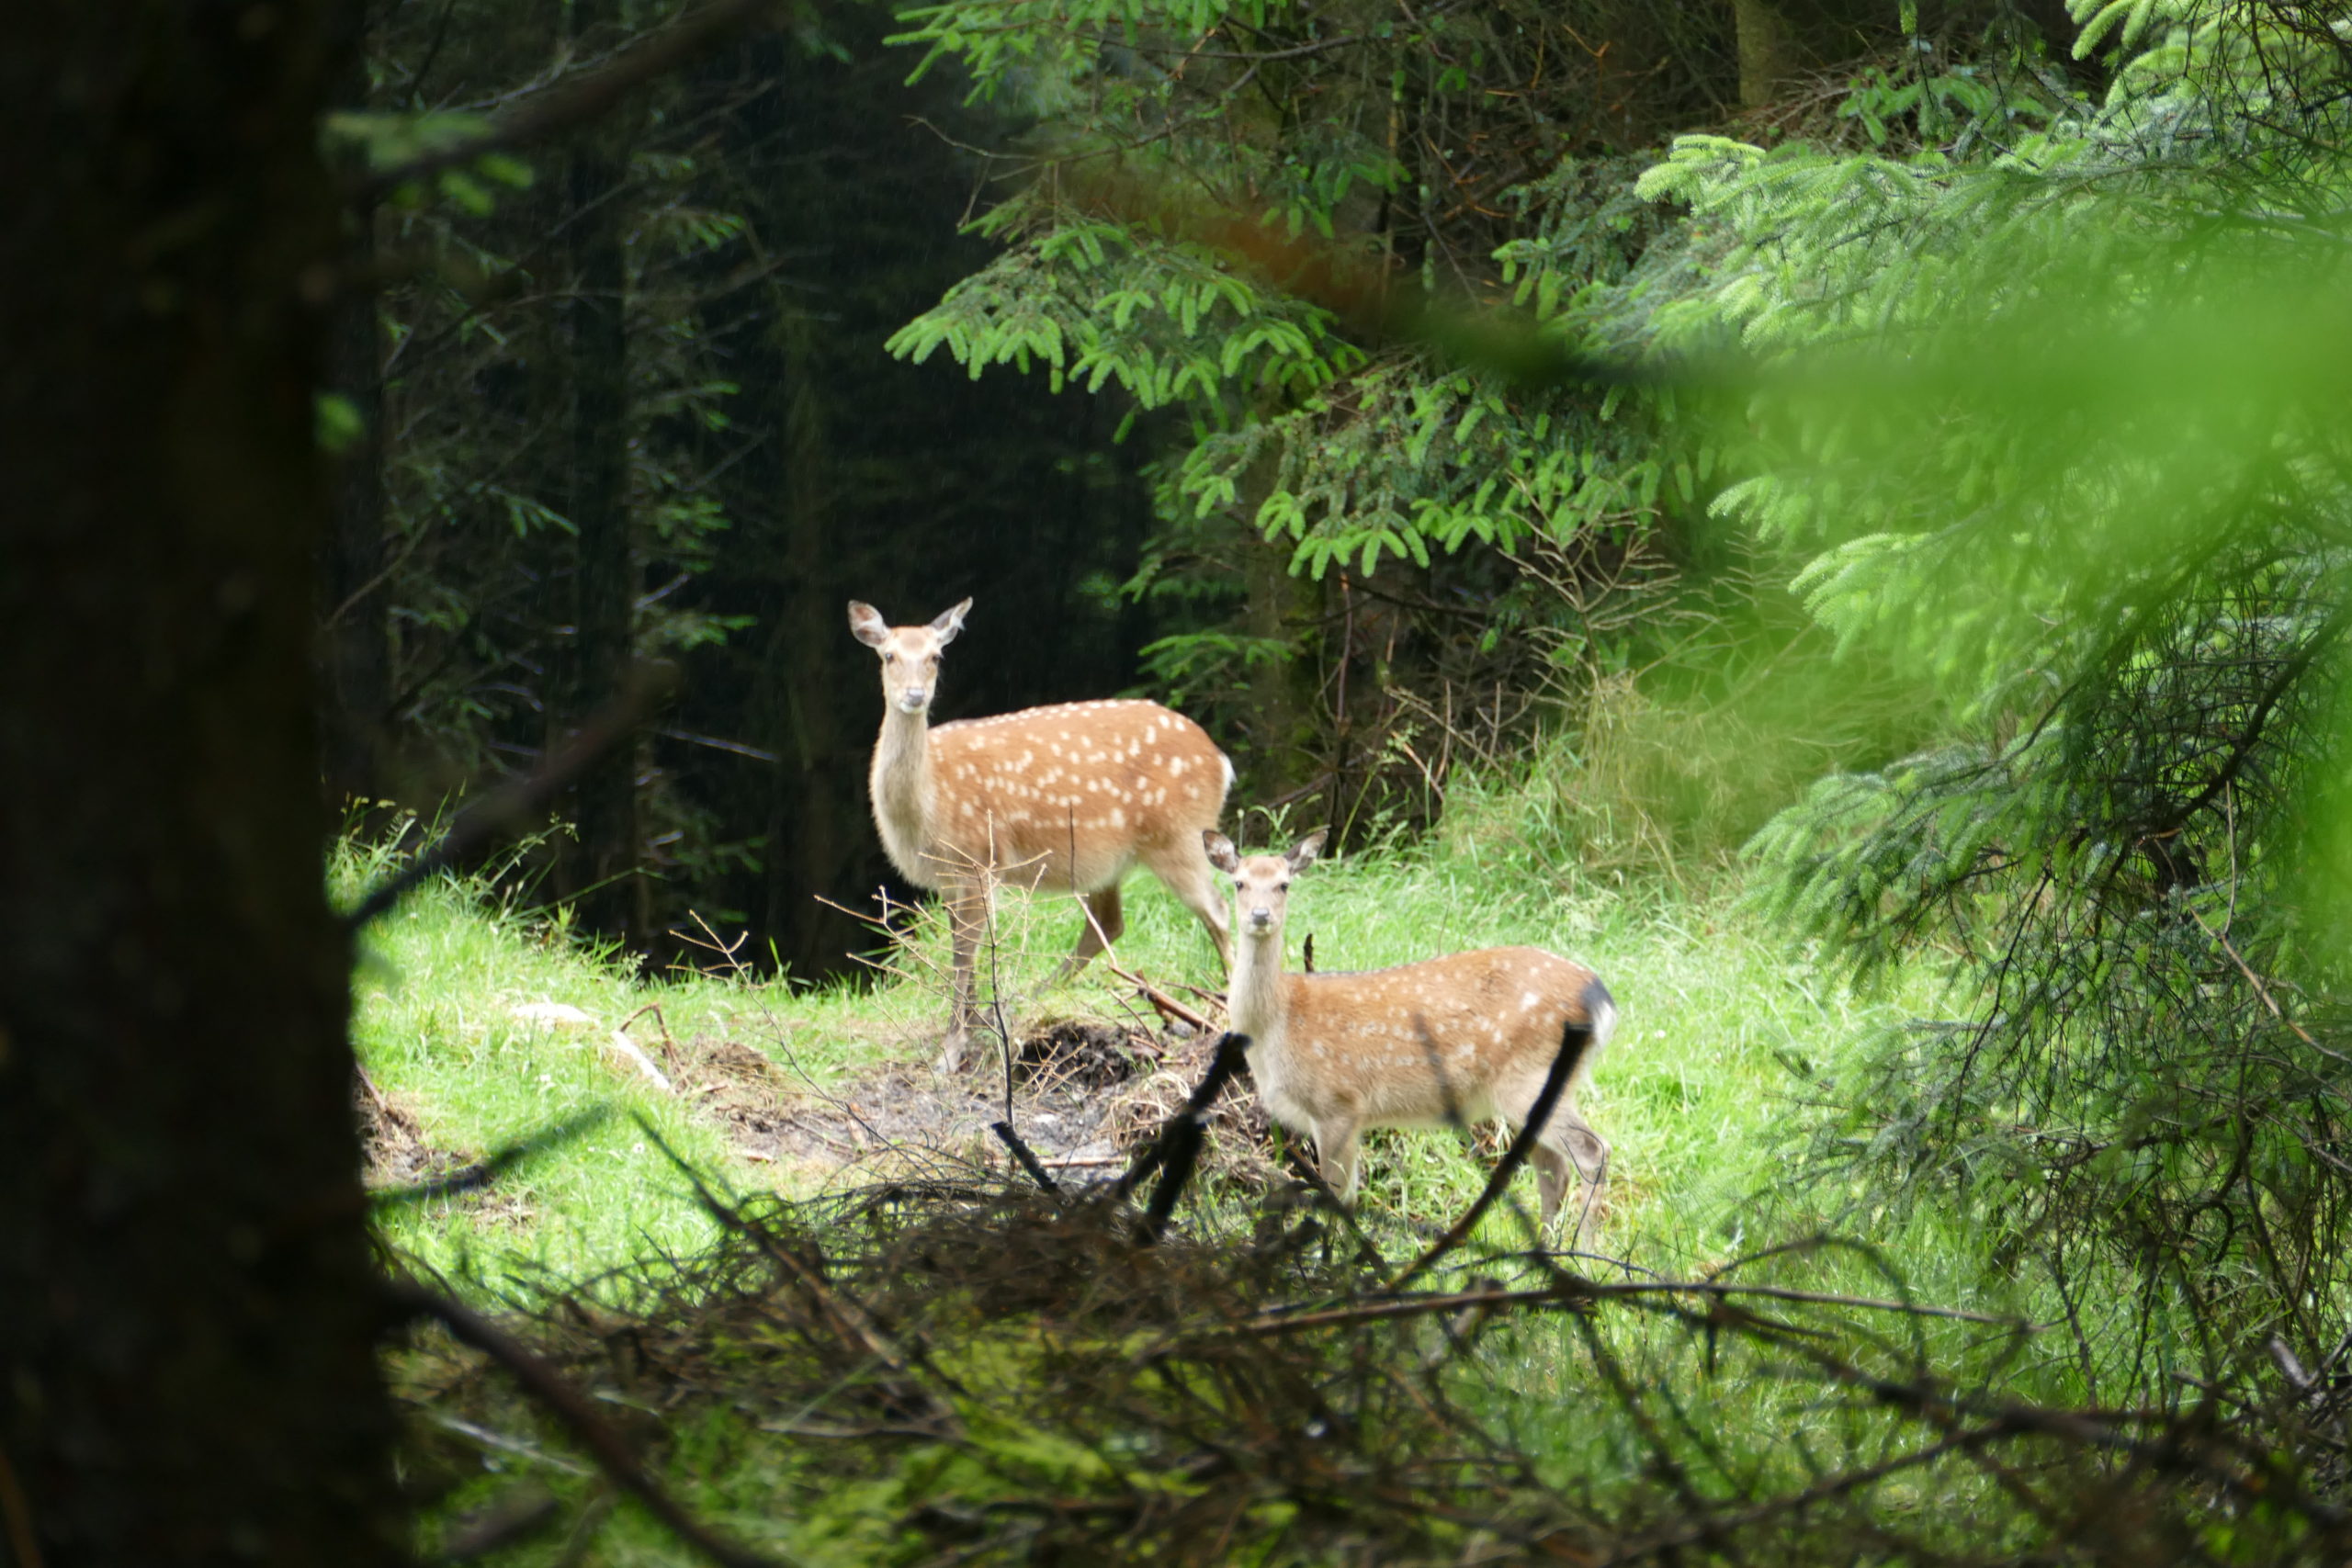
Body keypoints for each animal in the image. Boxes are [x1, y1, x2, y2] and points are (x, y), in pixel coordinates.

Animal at [855, 594, 1241, 1072]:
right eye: (889, 655)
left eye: (935, 656)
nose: (914, 696)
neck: (930, 802)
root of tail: (1221, 762)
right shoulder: (948, 877)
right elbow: (965, 950)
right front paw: (972, 1027)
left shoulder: (980, 858)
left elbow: (965, 953)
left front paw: (951, 1050)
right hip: (1109, 861)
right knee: (1109, 924)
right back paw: (1031, 996)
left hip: (1180, 835)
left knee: (1217, 908)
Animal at [1213, 831, 1618, 1241]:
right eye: (1239, 883)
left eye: (1284, 884)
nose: (1260, 915)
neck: (1277, 1025)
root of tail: (1601, 999)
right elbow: (1349, 1196)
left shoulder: (1338, 1102)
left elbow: (1337, 1196)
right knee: (1553, 1170)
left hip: (1528, 1077)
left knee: (1592, 1151)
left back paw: (1581, 1247)